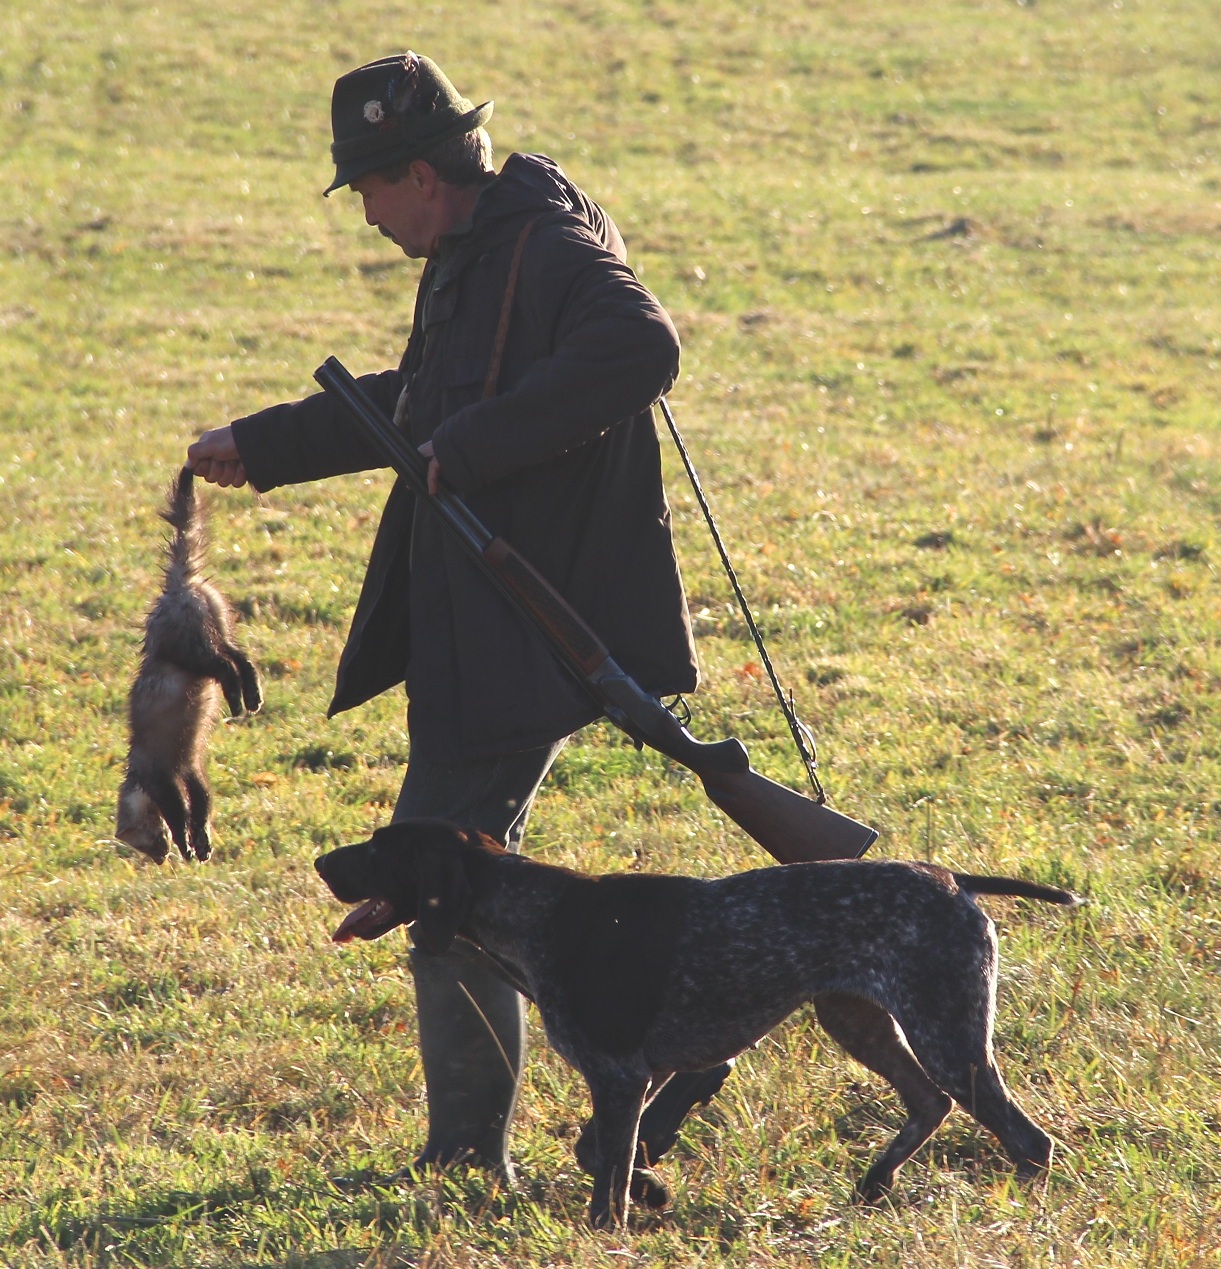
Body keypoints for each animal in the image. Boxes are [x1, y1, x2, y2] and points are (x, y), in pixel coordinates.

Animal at [114, 466, 261, 862]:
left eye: (143, 841)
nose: (160, 857)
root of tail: (179, 585)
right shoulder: (188, 766)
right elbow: (201, 800)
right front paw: (203, 842)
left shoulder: (161, 772)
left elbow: (179, 808)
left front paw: (186, 843)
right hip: (220, 618)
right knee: (239, 657)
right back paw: (253, 696)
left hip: (189, 645)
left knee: (223, 664)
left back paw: (238, 699)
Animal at [316, 817, 1086, 1223]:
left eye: (380, 846)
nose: (322, 860)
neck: (532, 913)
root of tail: (952, 878)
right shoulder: (645, 1072)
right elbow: (600, 1151)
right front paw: (651, 1188)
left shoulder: (623, 1075)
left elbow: (606, 1171)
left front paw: (613, 1223)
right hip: (859, 1020)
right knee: (930, 1102)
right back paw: (874, 1183)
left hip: (944, 1031)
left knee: (1026, 1138)